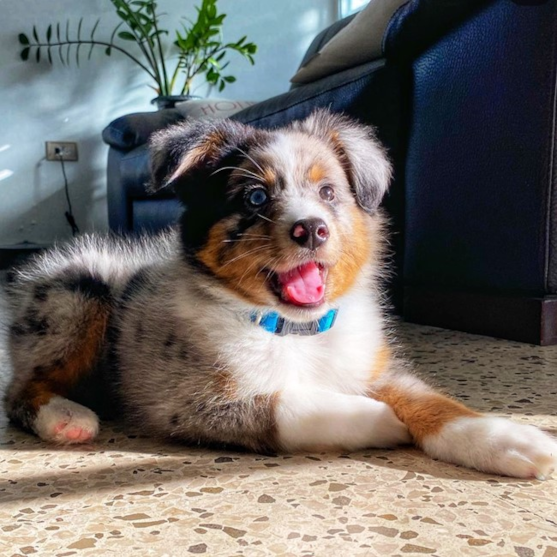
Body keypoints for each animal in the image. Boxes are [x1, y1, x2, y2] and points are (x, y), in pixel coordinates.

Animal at [3, 109, 552, 478]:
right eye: (256, 197)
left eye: (328, 193)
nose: (311, 229)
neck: (295, 331)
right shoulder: (185, 400)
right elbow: (285, 405)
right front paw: (381, 420)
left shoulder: (372, 366)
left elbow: (433, 401)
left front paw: (510, 439)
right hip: (78, 292)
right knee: (19, 391)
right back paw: (66, 417)